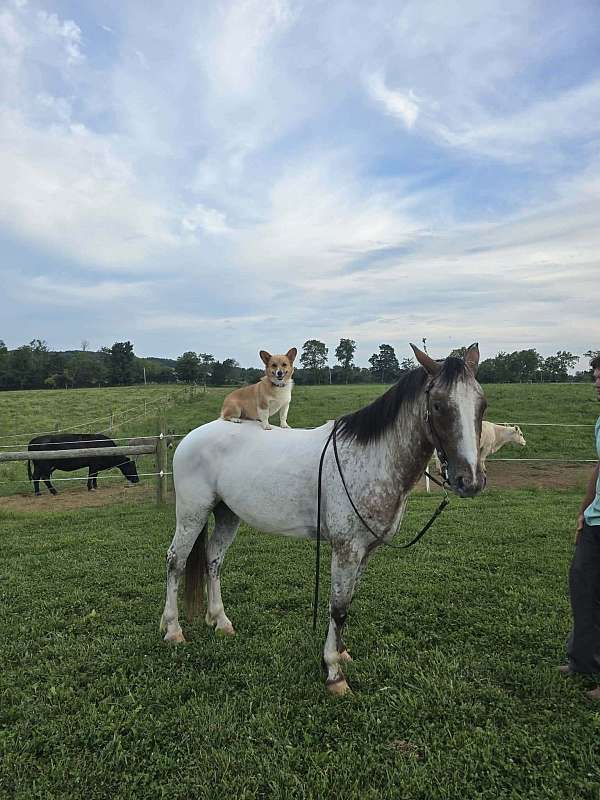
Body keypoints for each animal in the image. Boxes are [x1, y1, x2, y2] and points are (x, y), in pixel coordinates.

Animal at [160, 343, 487, 695]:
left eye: (482, 404)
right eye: (438, 405)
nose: (469, 480)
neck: (371, 457)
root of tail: (190, 437)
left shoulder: (365, 550)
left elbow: (347, 602)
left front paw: (341, 654)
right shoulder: (346, 549)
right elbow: (338, 607)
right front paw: (333, 672)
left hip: (227, 514)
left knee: (213, 560)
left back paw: (221, 622)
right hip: (192, 513)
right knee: (176, 562)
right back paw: (173, 630)